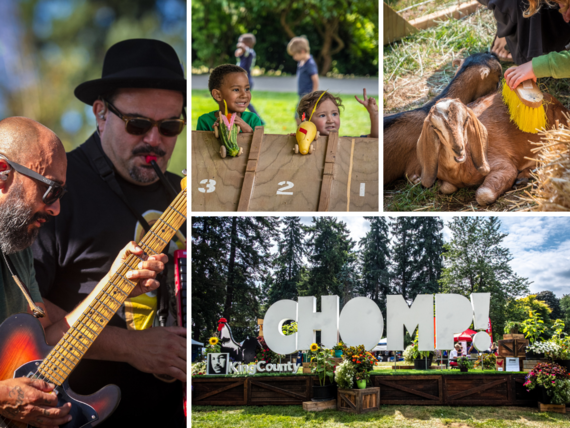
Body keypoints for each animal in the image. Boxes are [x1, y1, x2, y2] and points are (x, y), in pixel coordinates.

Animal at [414, 92, 568, 206]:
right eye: (435, 128)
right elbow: (446, 188)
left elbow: (483, 195)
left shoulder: (503, 165)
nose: (458, 149)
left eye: (466, 120)